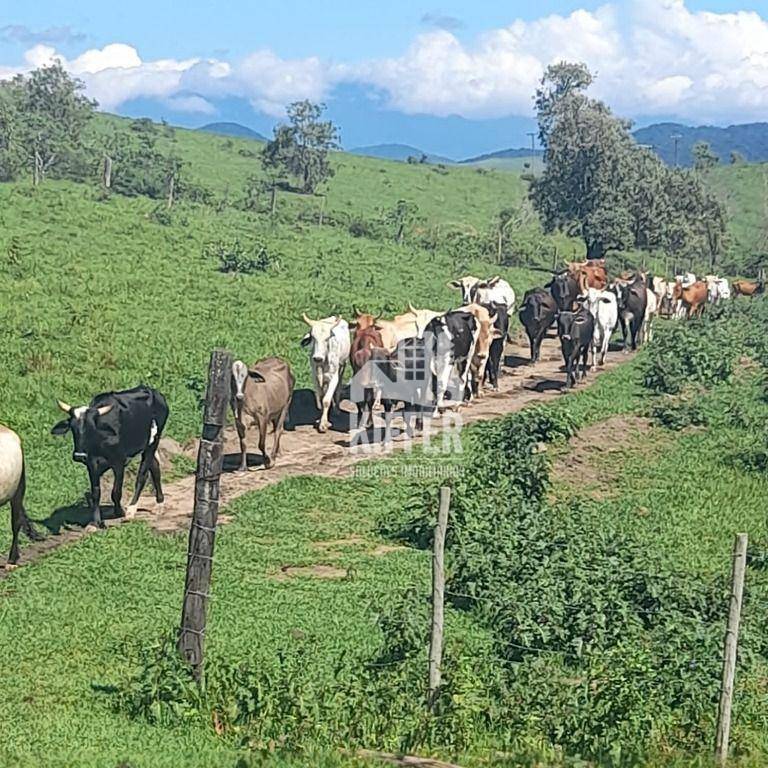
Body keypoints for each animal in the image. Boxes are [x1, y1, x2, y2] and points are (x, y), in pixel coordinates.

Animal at [52, 384, 170, 528]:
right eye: (72, 428)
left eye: (91, 427)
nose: (79, 455)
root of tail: (153, 391)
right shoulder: (91, 463)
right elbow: (95, 492)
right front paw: (95, 522)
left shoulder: (119, 461)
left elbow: (116, 491)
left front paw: (120, 511)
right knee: (155, 467)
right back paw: (159, 504)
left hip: (153, 442)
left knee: (142, 475)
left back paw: (132, 509)